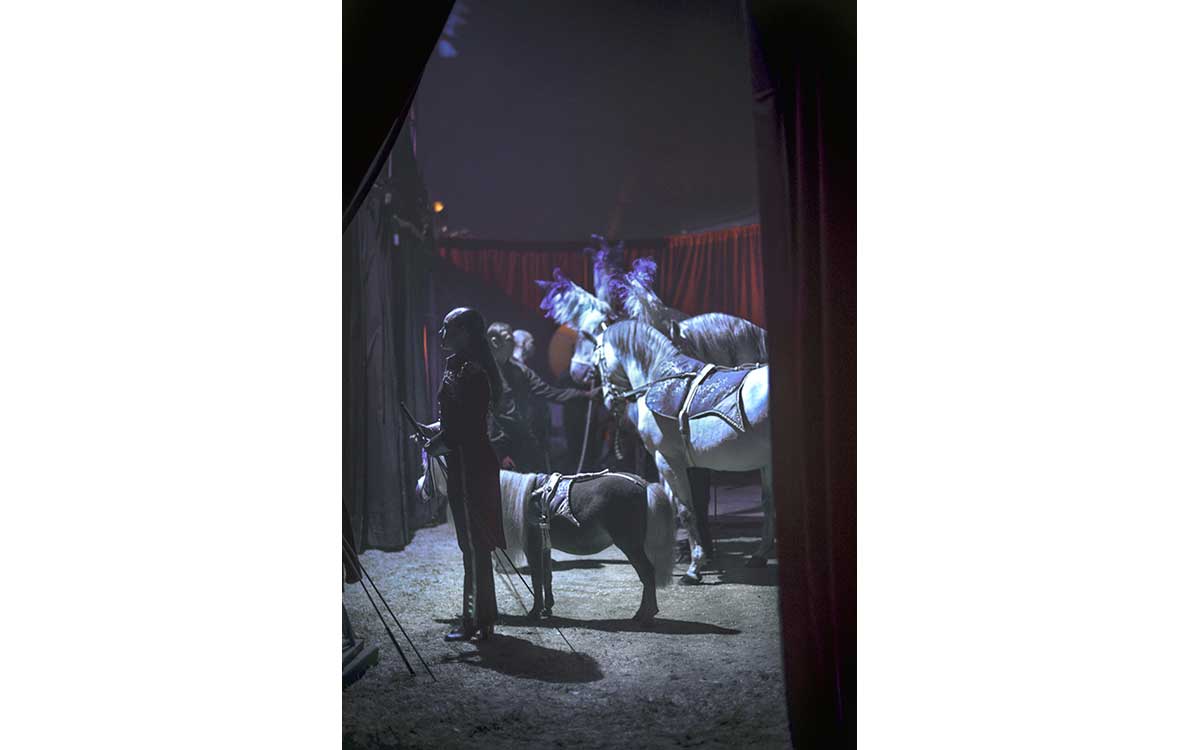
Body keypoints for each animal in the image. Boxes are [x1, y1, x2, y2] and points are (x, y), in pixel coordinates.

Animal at [417, 450, 677, 626]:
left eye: (428, 469)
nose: (419, 488)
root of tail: (643, 485)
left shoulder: (532, 546)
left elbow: (536, 579)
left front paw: (535, 611)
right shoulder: (544, 547)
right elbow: (547, 577)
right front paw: (547, 608)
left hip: (630, 545)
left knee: (647, 574)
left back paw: (645, 614)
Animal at [590, 320, 774, 584]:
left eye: (597, 360)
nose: (608, 400)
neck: (656, 377)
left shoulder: (669, 461)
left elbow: (687, 511)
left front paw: (694, 568)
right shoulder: (669, 464)